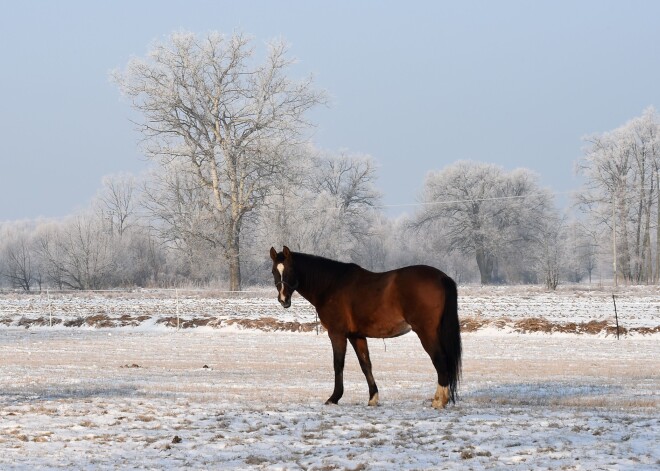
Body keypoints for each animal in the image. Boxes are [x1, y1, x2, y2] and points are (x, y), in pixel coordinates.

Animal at [270, 247, 462, 410]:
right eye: (273, 271)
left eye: (290, 270)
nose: (283, 300)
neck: (331, 285)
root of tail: (442, 277)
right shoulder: (356, 336)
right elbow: (365, 364)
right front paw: (373, 398)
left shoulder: (337, 334)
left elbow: (338, 364)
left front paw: (334, 398)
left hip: (426, 332)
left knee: (440, 360)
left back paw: (439, 401)